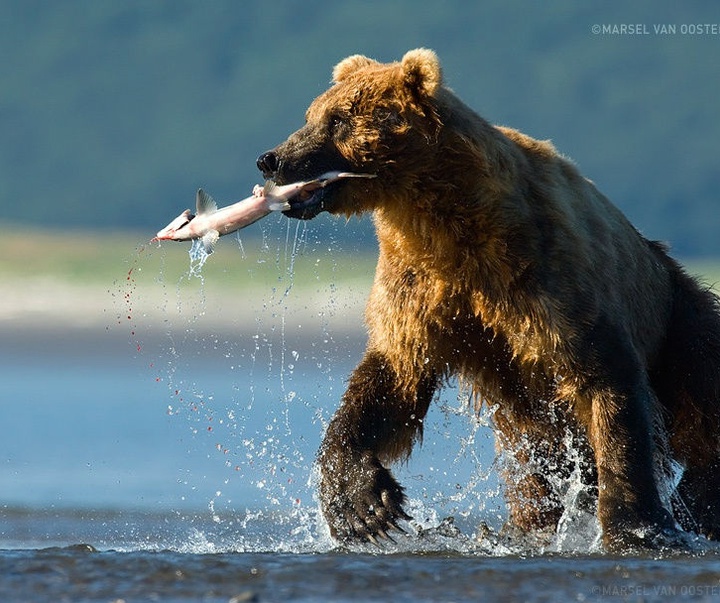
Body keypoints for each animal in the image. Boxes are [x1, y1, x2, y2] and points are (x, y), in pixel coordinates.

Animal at [258, 49, 720, 548]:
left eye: (339, 119)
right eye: (313, 115)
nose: (272, 159)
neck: (448, 221)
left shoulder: (542, 275)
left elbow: (604, 380)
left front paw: (635, 527)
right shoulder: (418, 286)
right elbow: (392, 378)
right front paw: (363, 507)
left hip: (675, 315)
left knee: (703, 401)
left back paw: (694, 501)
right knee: (532, 468)